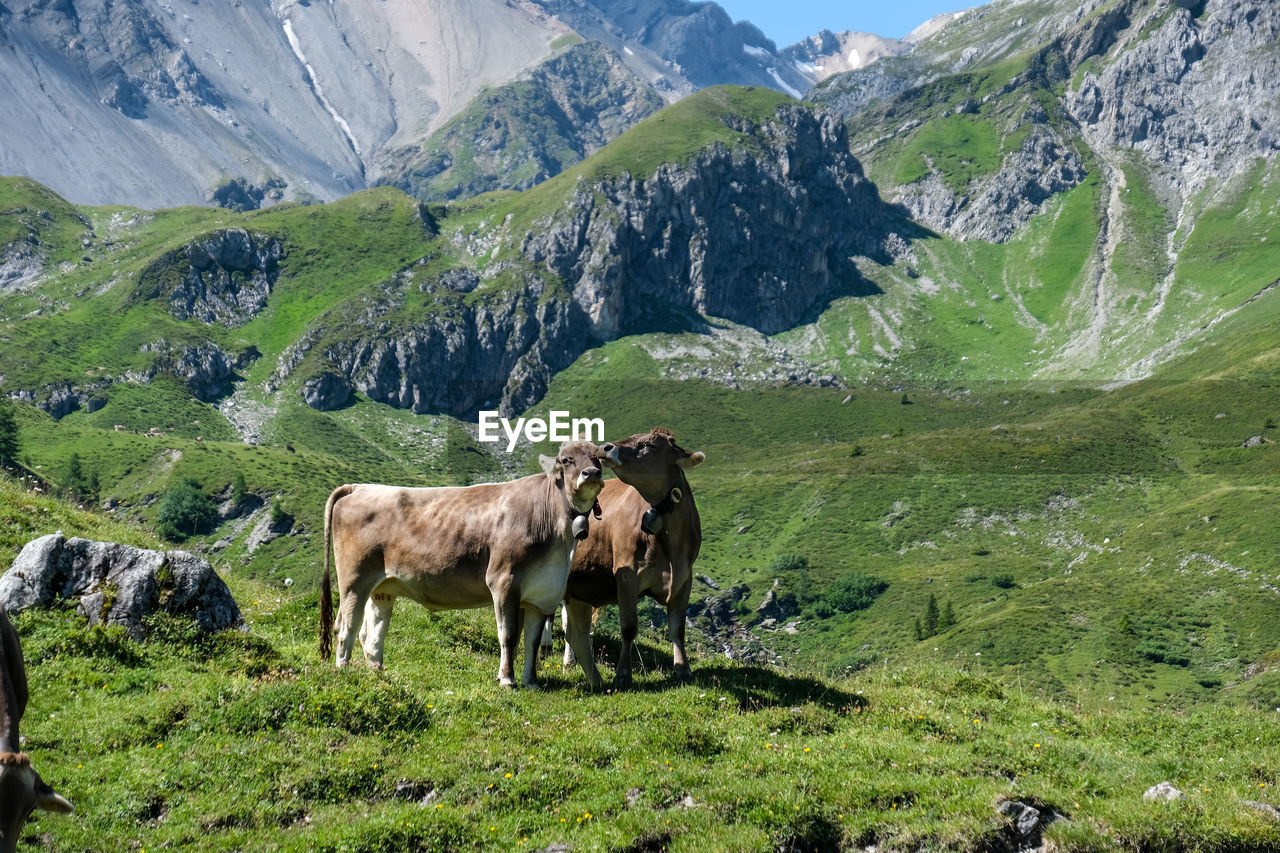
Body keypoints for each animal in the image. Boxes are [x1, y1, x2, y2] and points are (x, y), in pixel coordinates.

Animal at [317, 438, 601, 686]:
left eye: (597, 457)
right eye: (566, 460)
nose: (591, 473)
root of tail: (360, 487)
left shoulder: (542, 594)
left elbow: (531, 640)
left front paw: (530, 682)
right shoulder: (504, 581)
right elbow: (509, 635)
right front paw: (507, 680)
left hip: (383, 585)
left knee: (372, 630)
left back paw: (376, 671)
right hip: (355, 578)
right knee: (346, 624)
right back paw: (344, 670)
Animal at [560, 427, 706, 686]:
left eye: (650, 444)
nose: (605, 447)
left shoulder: (684, 579)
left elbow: (678, 628)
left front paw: (683, 669)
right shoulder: (626, 574)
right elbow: (629, 627)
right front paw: (623, 674)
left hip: (579, 587)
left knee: (575, 630)